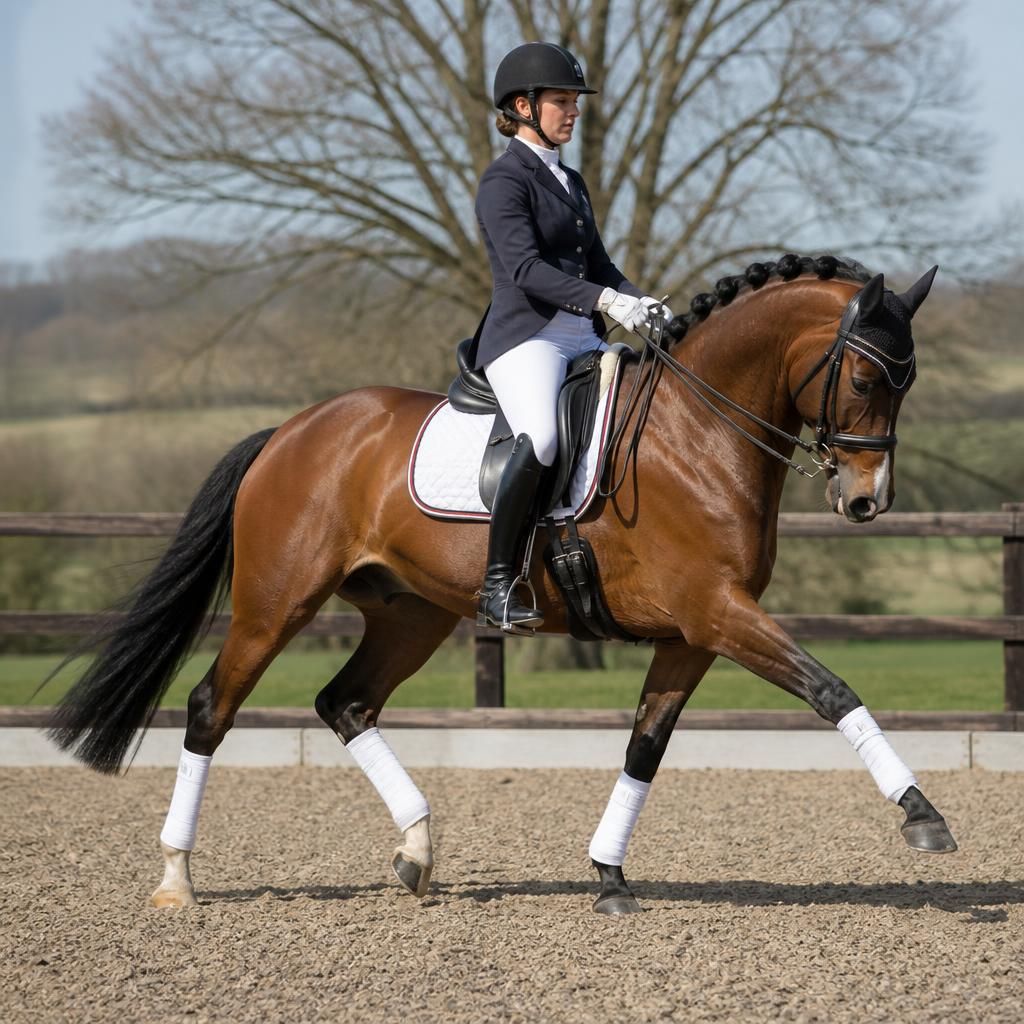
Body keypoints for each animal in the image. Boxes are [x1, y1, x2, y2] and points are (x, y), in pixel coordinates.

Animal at [47, 253, 956, 916]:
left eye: (908, 383)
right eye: (867, 380)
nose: (866, 501)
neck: (699, 431)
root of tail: (292, 430)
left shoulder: (692, 634)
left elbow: (646, 746)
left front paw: (609, 878)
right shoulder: (718, 613)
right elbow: (831, 690)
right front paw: (922, 815)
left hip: (409, 615)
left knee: (346, 703)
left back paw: (416, 852)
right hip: (276, 605)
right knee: (213, 707)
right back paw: (177, 878)